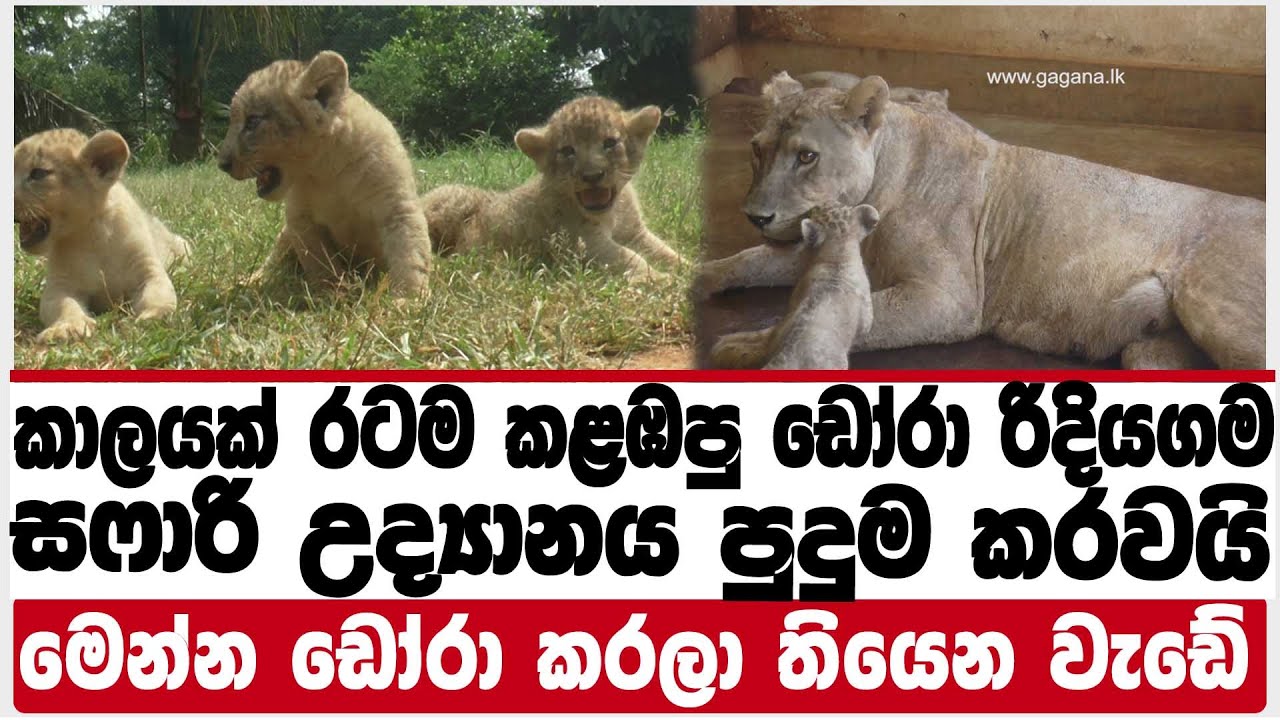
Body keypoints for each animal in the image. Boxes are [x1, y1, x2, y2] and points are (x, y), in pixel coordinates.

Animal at [14, 128, 189, 343]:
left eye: (38, 173)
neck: (91, 236)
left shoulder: (148, 270)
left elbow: (159, 294)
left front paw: (152, 318)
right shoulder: (59, 285)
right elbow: (63, 305)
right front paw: (67, 328)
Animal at [217, 50, 431, 297]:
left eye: (252, 121)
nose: (222, 164)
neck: (326, 169)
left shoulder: (397, 207)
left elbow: (411, 255)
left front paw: (407, 299)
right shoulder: (300, 220)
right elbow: (320, 262)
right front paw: (333, 294)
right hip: (284, 237)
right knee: (272, 264)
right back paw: (243, 283)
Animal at [421, 96, 683, 279]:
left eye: (610, 143)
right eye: (567, 151)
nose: (592, 176)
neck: (611, 212)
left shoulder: (636, 233)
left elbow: (666, 251)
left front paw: (684, 267)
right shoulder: (583, 242)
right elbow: (628, 257)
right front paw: (659, 279)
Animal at [711, 203, 878, 369]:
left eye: (839, 205)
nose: (817, 205)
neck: (838, 256)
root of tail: (786, 356)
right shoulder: (866, 313)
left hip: (776, 338)